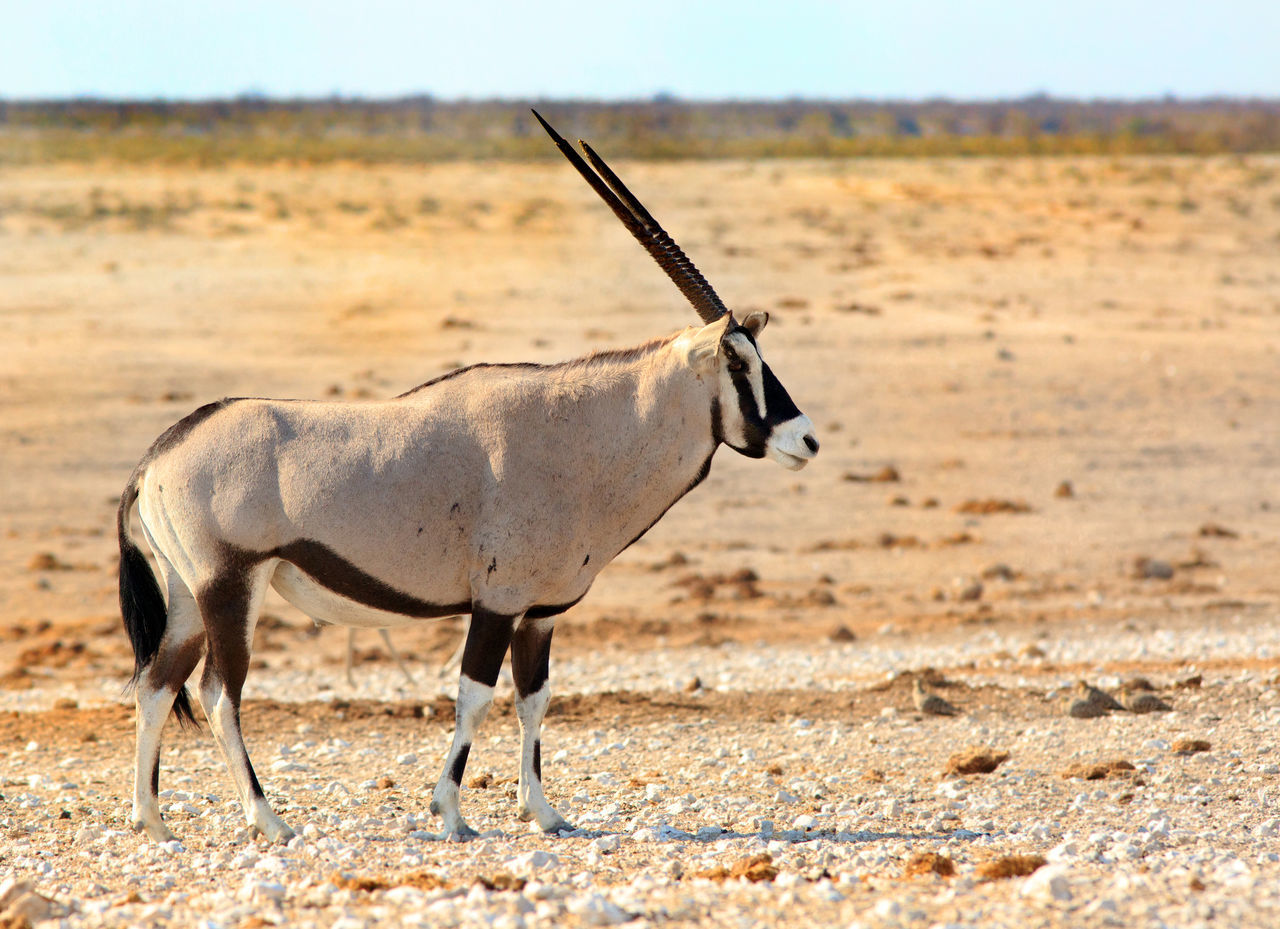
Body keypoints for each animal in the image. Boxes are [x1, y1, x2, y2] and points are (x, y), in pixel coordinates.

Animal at [120, 110, 819, 844]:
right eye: (738, 362)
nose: (805, 438)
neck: (578, 431)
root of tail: (158, 455)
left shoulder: (539, 612)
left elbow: (534, 699)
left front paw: (542, 810)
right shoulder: (497, 603)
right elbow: (476, 697)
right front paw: (451, 812)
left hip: (187, 595)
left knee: (156, 684)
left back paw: (153, 821)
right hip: (230, 585)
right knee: (218, 693)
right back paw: (267, 818)